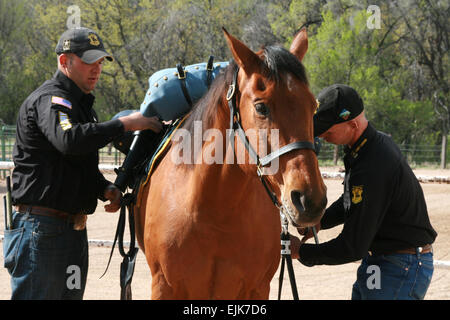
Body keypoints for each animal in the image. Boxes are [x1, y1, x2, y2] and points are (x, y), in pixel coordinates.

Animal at [134, 28, 326, 298]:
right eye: (261, 107)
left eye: (313, 105)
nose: (310, 199)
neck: (215, 212)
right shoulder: (164, 286)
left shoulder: (257, 288)